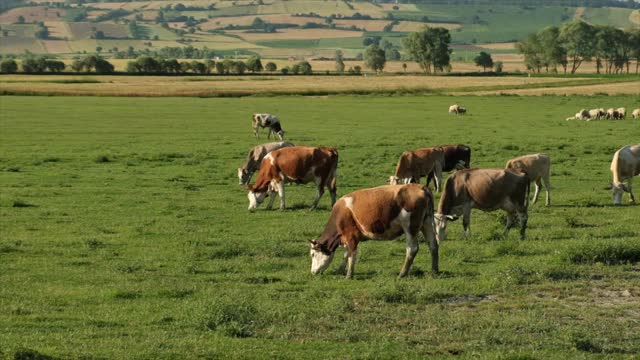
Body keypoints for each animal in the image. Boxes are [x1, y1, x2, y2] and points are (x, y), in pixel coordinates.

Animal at [308, 184, 438, 280]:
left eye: (313, 254)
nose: (312, 272)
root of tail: (421, 187)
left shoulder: (351, 236)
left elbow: (351, 255)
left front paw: (349, 275)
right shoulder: (347, 238)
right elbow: (346, 254)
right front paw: (340, 270)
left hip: (410, 227)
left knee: (412, 249)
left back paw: (402, 274)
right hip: (427, 223)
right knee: (433, 245)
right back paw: (434, 271)